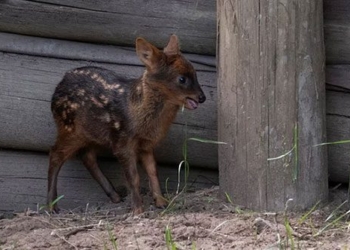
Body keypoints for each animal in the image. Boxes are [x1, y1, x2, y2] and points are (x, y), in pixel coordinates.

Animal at [46, 34, 205, 215]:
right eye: (182, 79)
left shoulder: (146, 144)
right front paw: (138, 209)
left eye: (195, 73)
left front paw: (161, 202)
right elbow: (133, 177)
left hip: (92, 134)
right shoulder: (123, 141)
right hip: (69, 127)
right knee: (56, 154)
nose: (202, 97)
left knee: (87, 156)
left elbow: (153, 171)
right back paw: (52, 206)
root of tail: (59, 85)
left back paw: (115, 196)